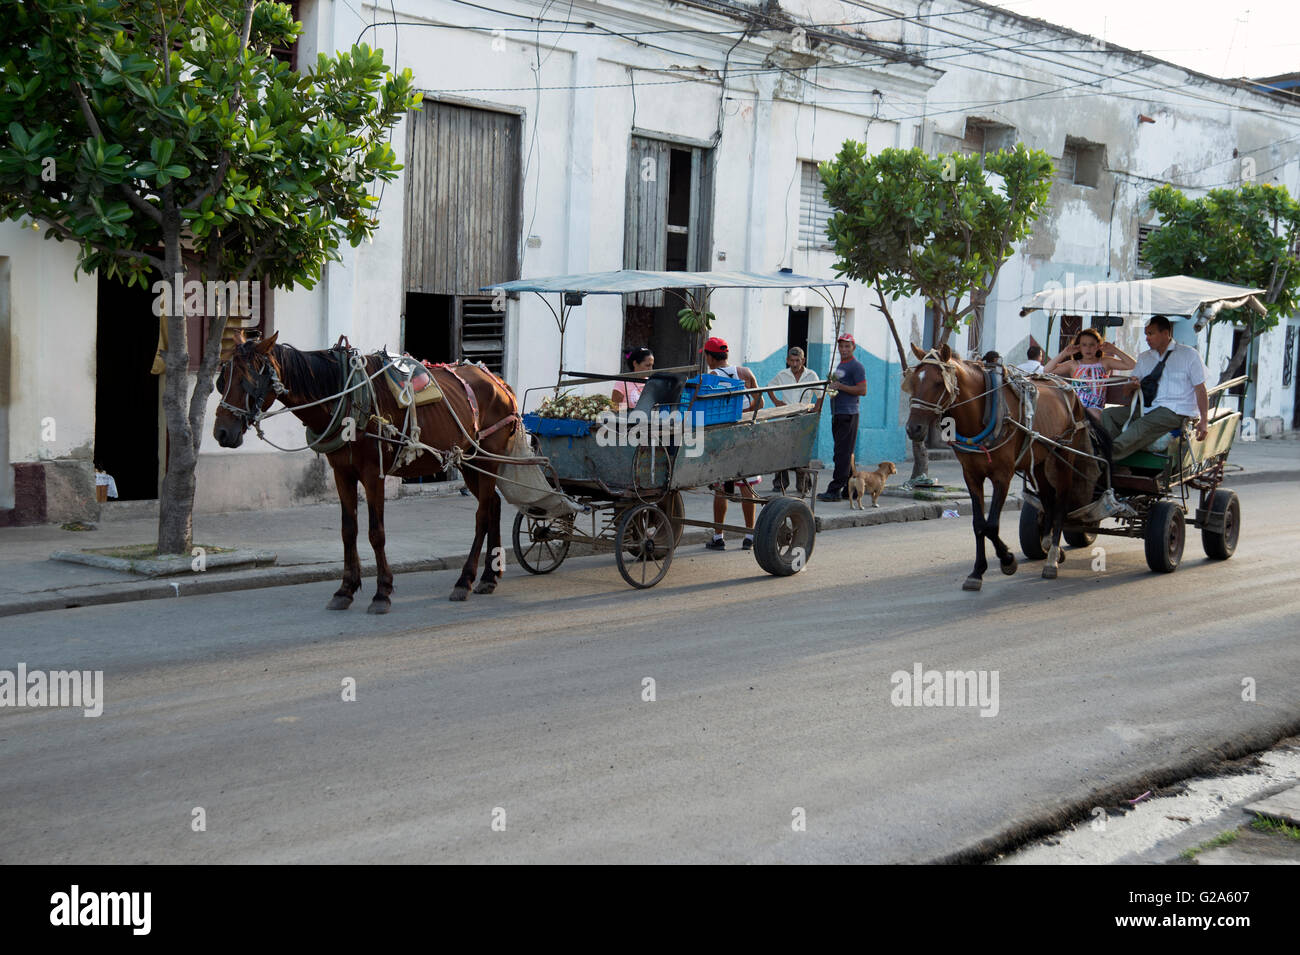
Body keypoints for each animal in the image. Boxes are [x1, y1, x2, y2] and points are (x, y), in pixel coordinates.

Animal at [211, 332, 517, 608]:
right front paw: (345, 589)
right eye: (221, 381)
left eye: (248, 380)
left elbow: (375, 533)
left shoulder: (373, 474)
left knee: (482, 515)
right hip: (468, 461)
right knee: (493, 505)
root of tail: (497, 382)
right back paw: (489, 576)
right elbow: (348, 530)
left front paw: (382, 592)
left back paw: (465, 580)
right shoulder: (341, 472)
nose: (221, 433)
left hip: (487, 458)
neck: (345, 398)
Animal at [904, 343, 1097, 589]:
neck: (983, 412)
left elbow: (992, 525)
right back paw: (1047, 544)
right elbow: (979, 524)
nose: (913, 429)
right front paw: (977, 572)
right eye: (914, 381)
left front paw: (1007, 560)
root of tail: (1067, 387)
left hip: (1064, 456)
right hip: (1039, 461)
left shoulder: (1002, 476)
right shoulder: (972, 476)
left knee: (1061, 503)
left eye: (939, 382)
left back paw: (1052, 557)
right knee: (1047, 498)